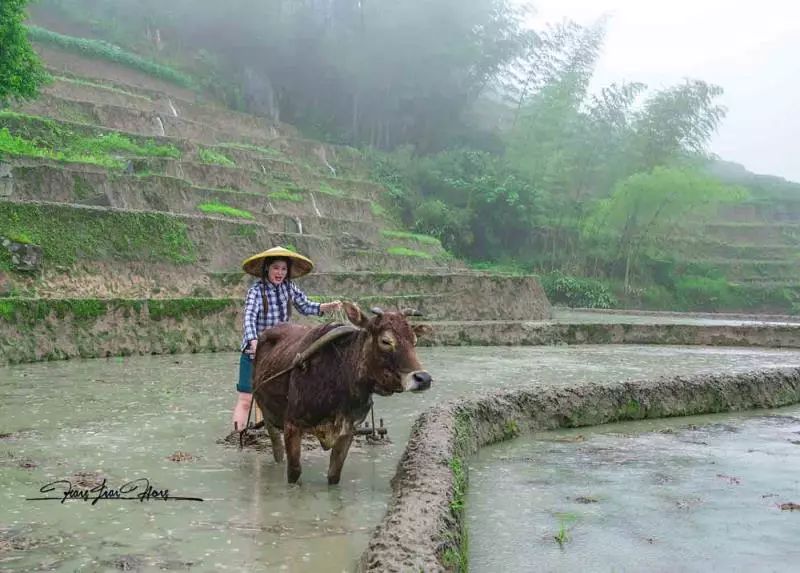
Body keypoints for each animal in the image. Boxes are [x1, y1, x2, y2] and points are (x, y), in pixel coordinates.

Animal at [255, 300, 432, 482]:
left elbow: (334, 475)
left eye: (414, 340)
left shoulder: (348, 431)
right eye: (385, 341)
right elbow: (294, 472)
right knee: (277, 450)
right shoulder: (292, 425)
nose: (423, 378)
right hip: (267, 416)